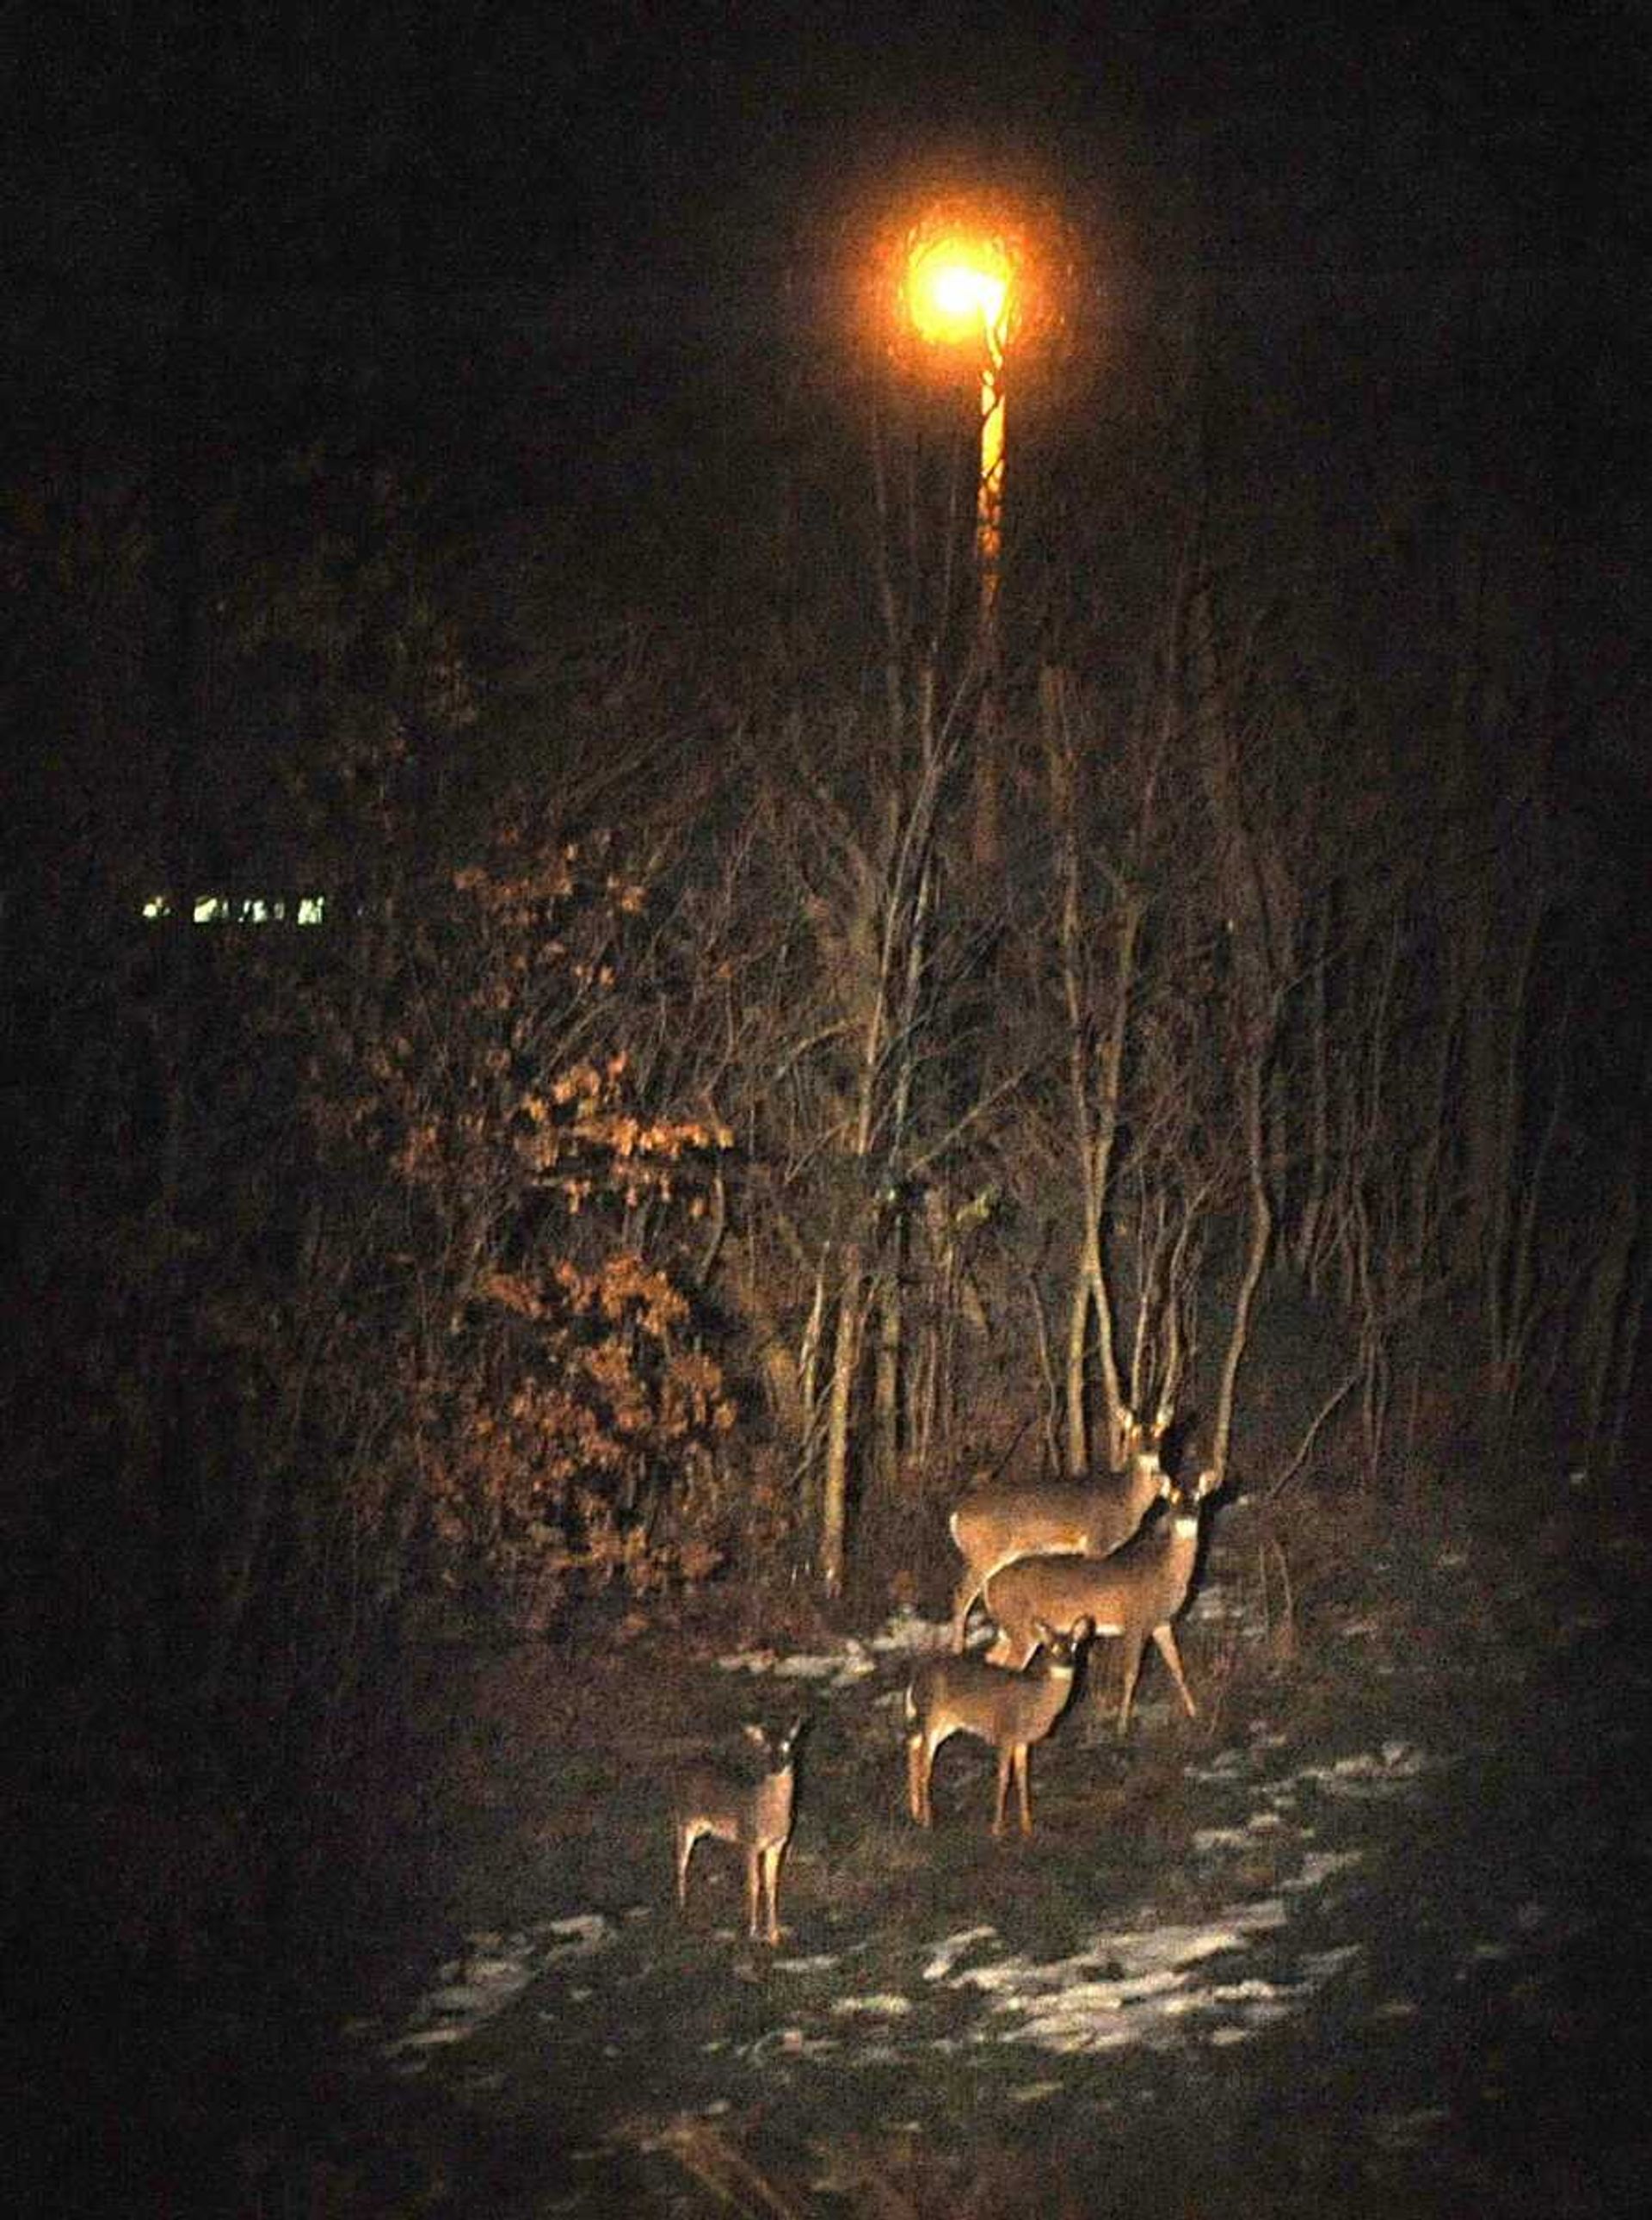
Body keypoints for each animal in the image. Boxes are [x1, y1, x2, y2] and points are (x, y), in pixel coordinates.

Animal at [666, 1713, 804, 1945]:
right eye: (764, 1747)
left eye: (788, 1745)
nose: (776, 1767)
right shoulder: (748, 1840)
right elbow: (754, 1884)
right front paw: (752, 1931)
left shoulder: (777, 1844)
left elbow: (772, 1885)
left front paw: (773, 1934)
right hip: (685, 1818)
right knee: (680, 1862)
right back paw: (682, 1908)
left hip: (701, 1826)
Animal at [950, 1403, 1172, 1651]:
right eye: (1133, 1431)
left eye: (1159, 1431)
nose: (1148, 1451)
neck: (1126, 1498)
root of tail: (957, 1515)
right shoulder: (1096, 1541)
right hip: (986, 1551)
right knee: (962, 1594)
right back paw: (958, 1648)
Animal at [981, 1465, 1225, 1740]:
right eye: (1172, 1498)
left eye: (1198, 1496)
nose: (1187, 1515)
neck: (1163, 1572)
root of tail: (989, 1587)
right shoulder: (1134, 1620)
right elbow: (1130, 1674)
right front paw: (1122, 1727)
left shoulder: (1162, 1622)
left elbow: (1177, 1665)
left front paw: (1195, 1713)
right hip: (1022, 1629)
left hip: (1009, 1629)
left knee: (992, 1658)